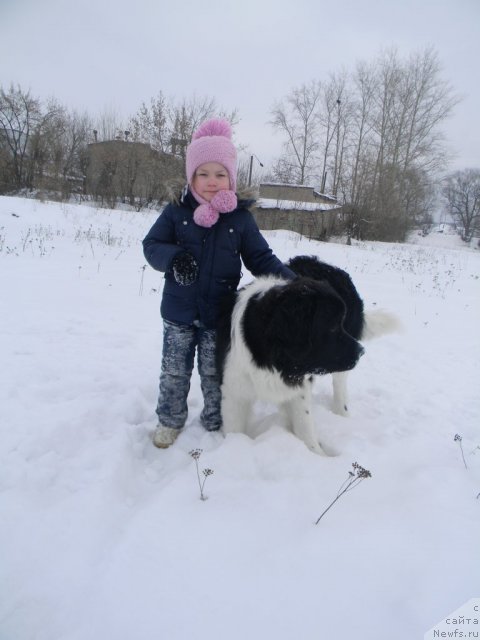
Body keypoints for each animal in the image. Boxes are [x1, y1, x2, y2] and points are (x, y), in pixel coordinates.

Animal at [216, 255, 400, 456]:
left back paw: (342, 414)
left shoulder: (300, 386)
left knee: (340, 386)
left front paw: (318, 455)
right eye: (332, 326)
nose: (361, 351)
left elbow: (304, 426)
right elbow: (234, 428)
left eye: (341, 322)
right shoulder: (235, 390)